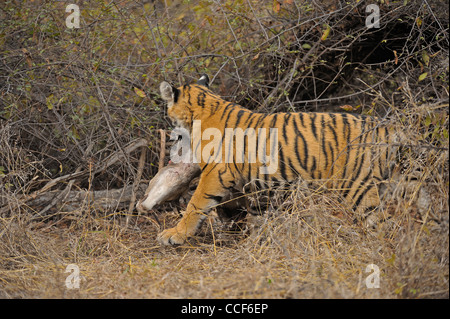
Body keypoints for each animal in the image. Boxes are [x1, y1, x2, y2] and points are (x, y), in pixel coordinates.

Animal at [156, 74, 400, 245]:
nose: (171, 137)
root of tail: (384, 127)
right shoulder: (255, 184)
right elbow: (256, 214)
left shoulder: (214, 174)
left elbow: (195, 204)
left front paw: (175, 234)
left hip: (358, 188)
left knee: (383, 224)